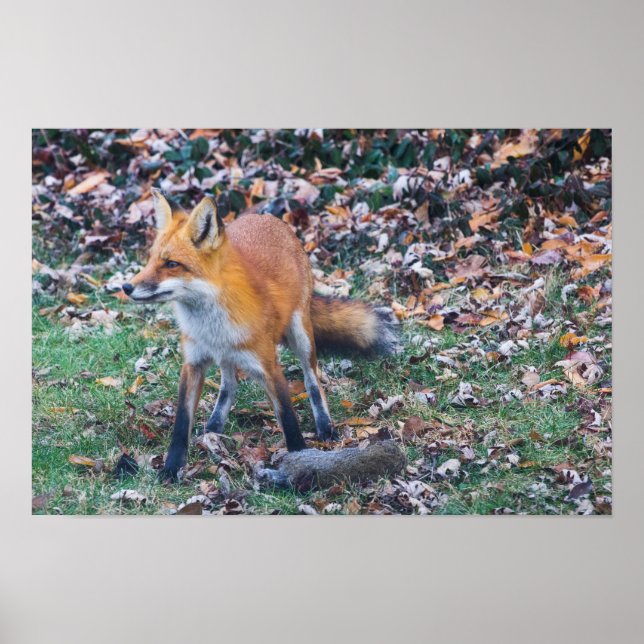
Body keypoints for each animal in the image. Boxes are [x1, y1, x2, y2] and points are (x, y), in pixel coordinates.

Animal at [122, 189, 398, 480]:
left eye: (172, 264)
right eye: (151, 260)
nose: (126, 287)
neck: (211, 324)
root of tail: (267, 217)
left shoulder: (268, 366)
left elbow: (288, 418)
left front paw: (299, 461)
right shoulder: (193, 362)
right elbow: (181, 423)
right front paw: (171, 468)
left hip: (301, 335)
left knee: (313, 380)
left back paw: (324, 426)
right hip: (228, 355)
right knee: (229, 386)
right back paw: (213, 428)